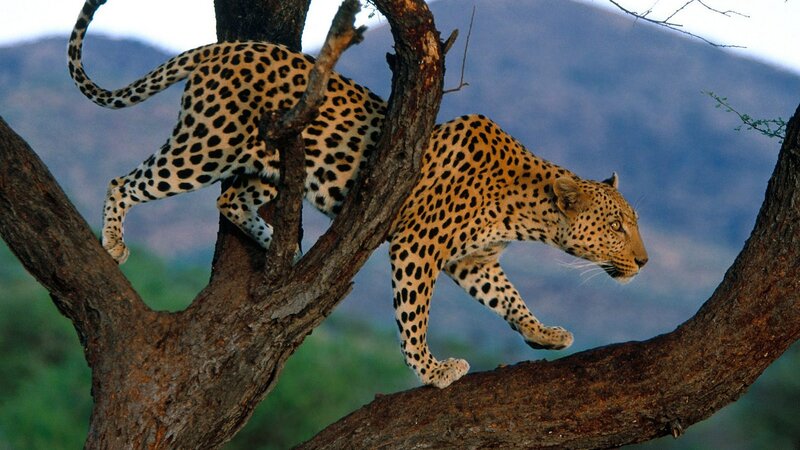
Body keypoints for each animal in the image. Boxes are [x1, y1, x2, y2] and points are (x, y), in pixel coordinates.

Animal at [68, 0, 648, 388]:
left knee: (229, 200)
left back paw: (282, 245)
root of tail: (226, 45)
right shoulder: (418, 246)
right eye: (618, 225)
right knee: (127, 182)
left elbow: (510, 297)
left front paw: (543, 333)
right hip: (206, 146)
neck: (526, 212)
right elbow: (414, 315)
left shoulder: (475, 260)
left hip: (264, 157)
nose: (643, 262)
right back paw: (115, 242)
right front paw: (433, 369)